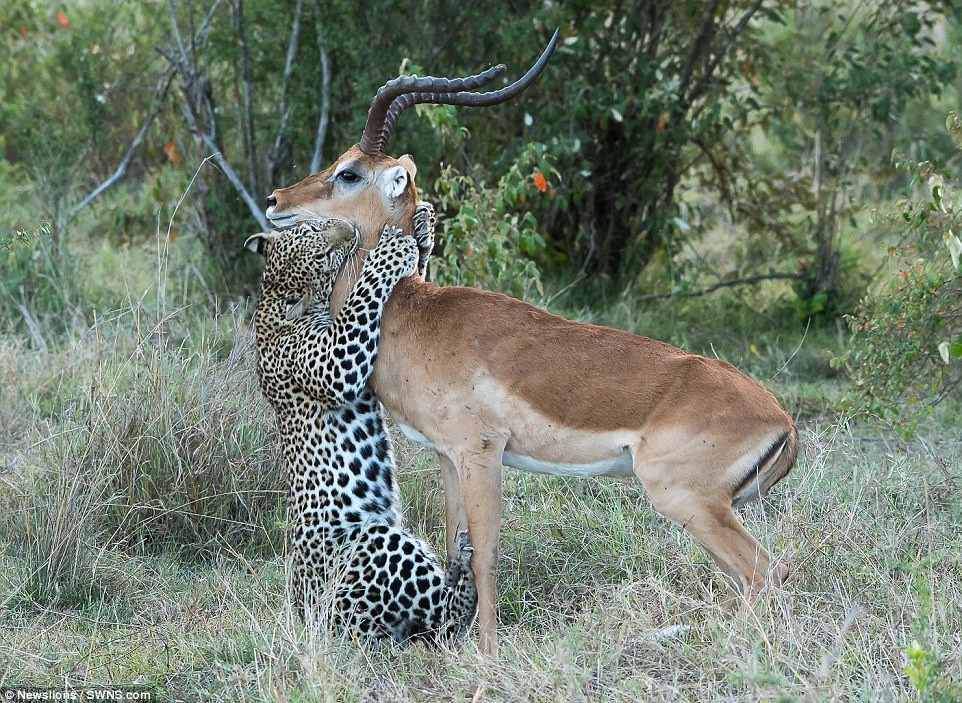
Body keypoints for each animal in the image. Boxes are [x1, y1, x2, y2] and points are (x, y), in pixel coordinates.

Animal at [244, 204, 476, 644]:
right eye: (323, 257)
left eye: (314, 226)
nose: (349, 229)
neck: (273, 302)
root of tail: (331, 625)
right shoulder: (337, 361)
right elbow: (362, 295)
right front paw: (390, 249)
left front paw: (423, 231)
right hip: (373, 542)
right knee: (446, 620)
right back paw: (465, 573)